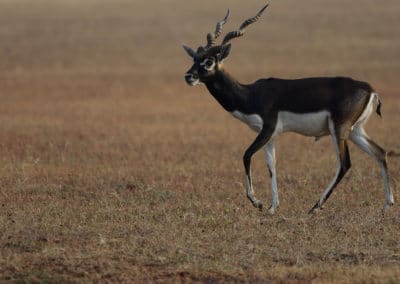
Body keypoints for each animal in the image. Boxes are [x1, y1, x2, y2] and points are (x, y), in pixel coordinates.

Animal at [184, 4, 394, 214]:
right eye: (195, 59)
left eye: (209, 61)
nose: (188, 76)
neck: (251, 94)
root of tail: (369, 89)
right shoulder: (270, 135)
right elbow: (272, 167)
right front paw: (272, 207)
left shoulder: (267, 129)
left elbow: (246, 155)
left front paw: (257, 202)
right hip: (355, 130)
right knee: (380, 152)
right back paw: (387, 204)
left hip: (339, 129)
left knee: (345, 163)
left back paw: (315, 207)